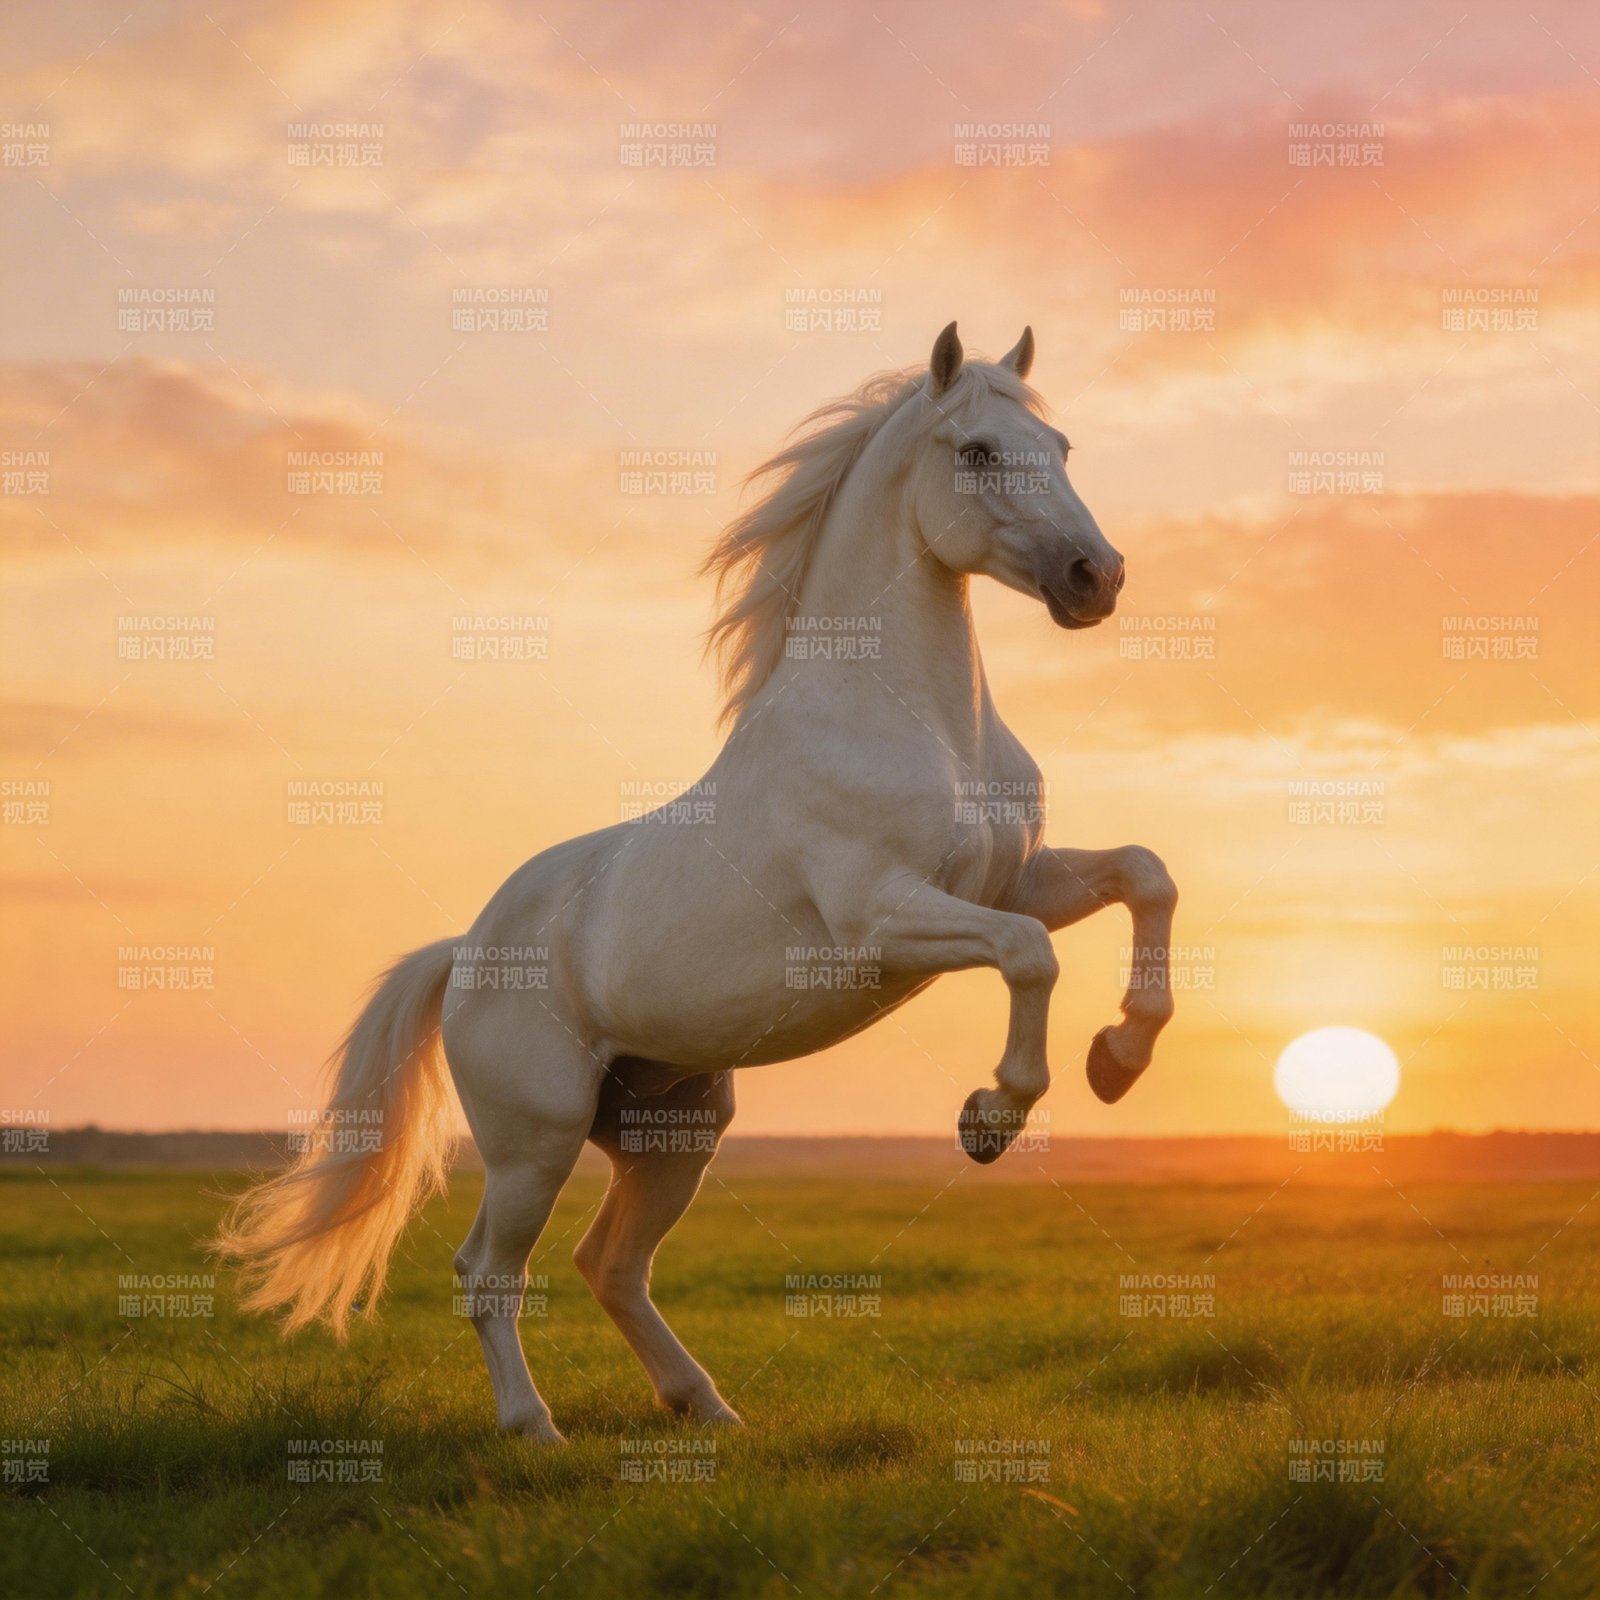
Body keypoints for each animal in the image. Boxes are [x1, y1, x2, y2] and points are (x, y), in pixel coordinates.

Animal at [215, 322, 1178, 1442]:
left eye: (1059, 446)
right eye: (977, 450)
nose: (1096, 576)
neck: (922, 724)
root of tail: (462, 954)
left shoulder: (1017, 881)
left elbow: (1145, 878)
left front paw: (1119, 1057)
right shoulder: (882, 918)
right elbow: (1029, 957)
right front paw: (992, 1116)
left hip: (673, 1132)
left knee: (610, 1263)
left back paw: (707, 1407)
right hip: (535, 1141)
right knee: (489, 1269)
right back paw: (535, 1430)